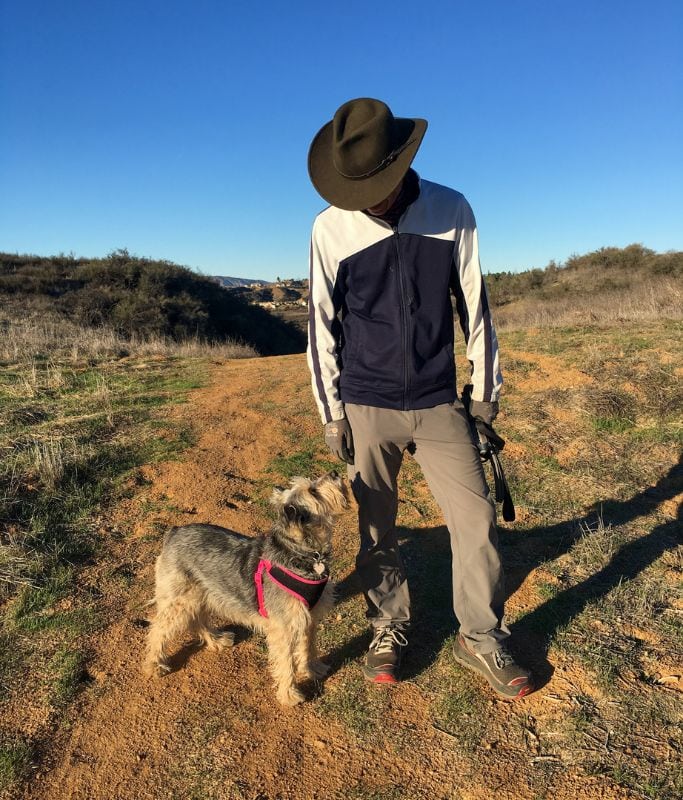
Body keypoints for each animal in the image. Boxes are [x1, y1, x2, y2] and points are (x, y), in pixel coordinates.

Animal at [143, 468, 348, 708]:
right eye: (313, 490)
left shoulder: (309, 618)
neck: (300, 552)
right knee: (158, 630)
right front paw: (288, 695)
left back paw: (216, 640)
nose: (335, 472)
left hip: (199, 594)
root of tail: (173, 532)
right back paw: (154, 665)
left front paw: (313, 669)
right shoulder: (284, 627)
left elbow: (308, 647)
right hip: (179, 600)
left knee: (197, 620)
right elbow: (286, 662)